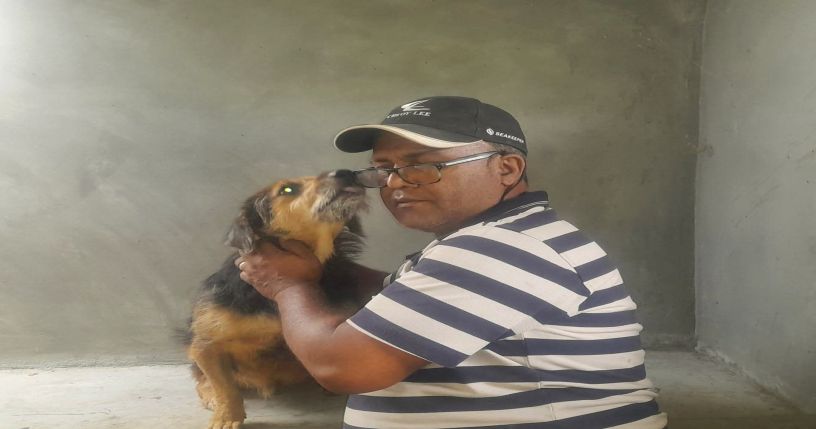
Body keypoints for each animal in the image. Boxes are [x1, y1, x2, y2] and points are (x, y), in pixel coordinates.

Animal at [182, 169, 368, 429]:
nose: (347, 172)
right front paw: (227, 416)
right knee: (201, 379)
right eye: (287, 189)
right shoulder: (205, 344)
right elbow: (225, 387)